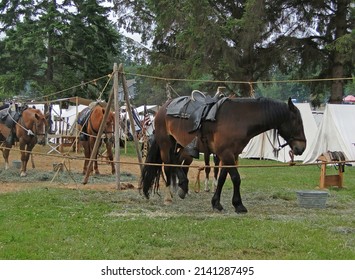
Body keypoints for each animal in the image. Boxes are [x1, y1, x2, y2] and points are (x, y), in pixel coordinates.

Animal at [140, 97, 308, 213]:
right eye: (297, 122)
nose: (301, 148)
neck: (239, 119)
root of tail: (163, 108)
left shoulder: (230, 154)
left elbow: (221, 179)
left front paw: (216, 203)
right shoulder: (226, 154)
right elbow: (236, 178)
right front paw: (239, 205)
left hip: (182, 146)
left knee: (176, 161)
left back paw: (182, 187)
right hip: (166, 144)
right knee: (168, 165)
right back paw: (170, 196)